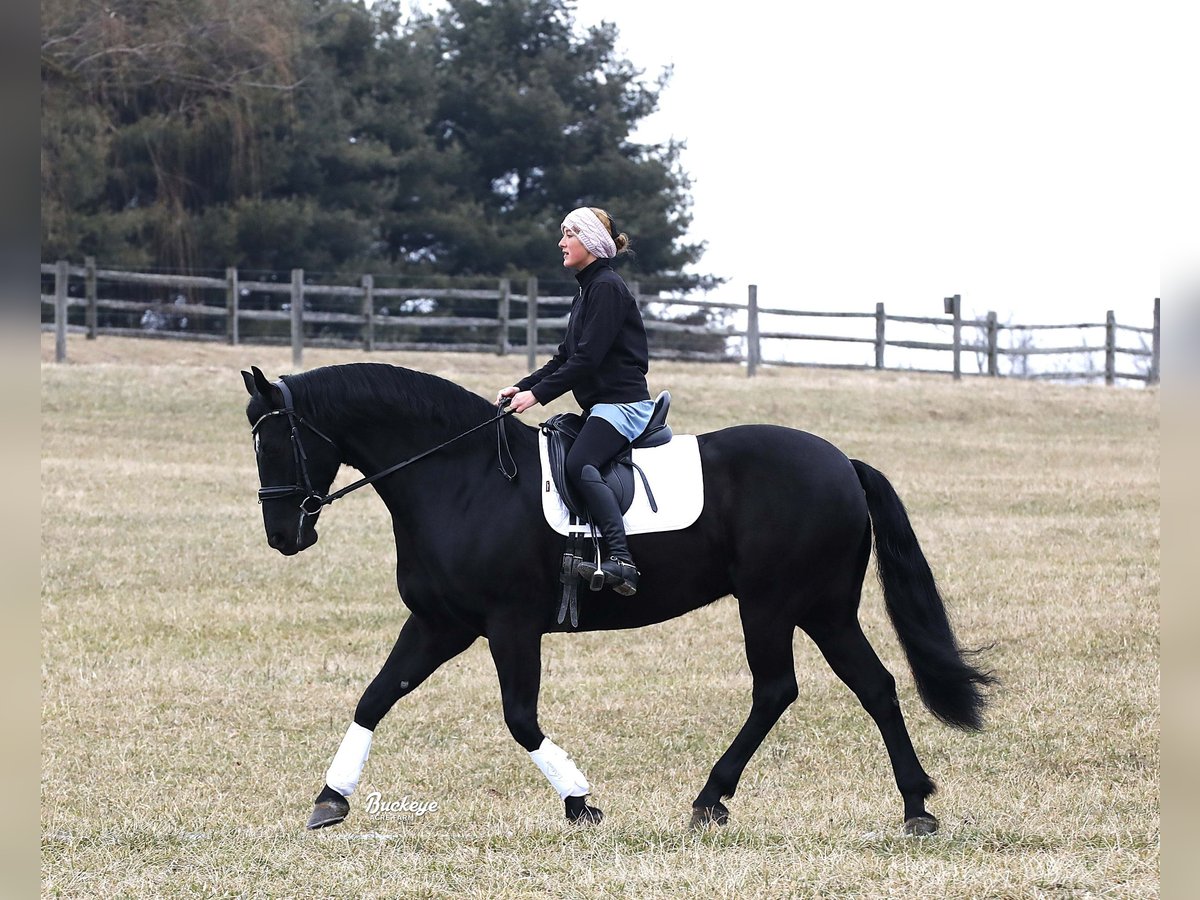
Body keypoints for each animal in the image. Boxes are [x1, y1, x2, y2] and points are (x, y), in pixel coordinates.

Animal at [243, 362, 993, 835]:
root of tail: (842, 463)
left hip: (775, 605)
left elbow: (519, 718)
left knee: (780, 689)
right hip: (823, 609)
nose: (283, 535)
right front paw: (330, 800)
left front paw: (580, 803)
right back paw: (913, 806)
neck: (463, 479)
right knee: (874, 685)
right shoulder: (439, 623)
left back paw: (714, 799)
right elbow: (375, 697)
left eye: (276, 440)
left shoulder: (509, 626)